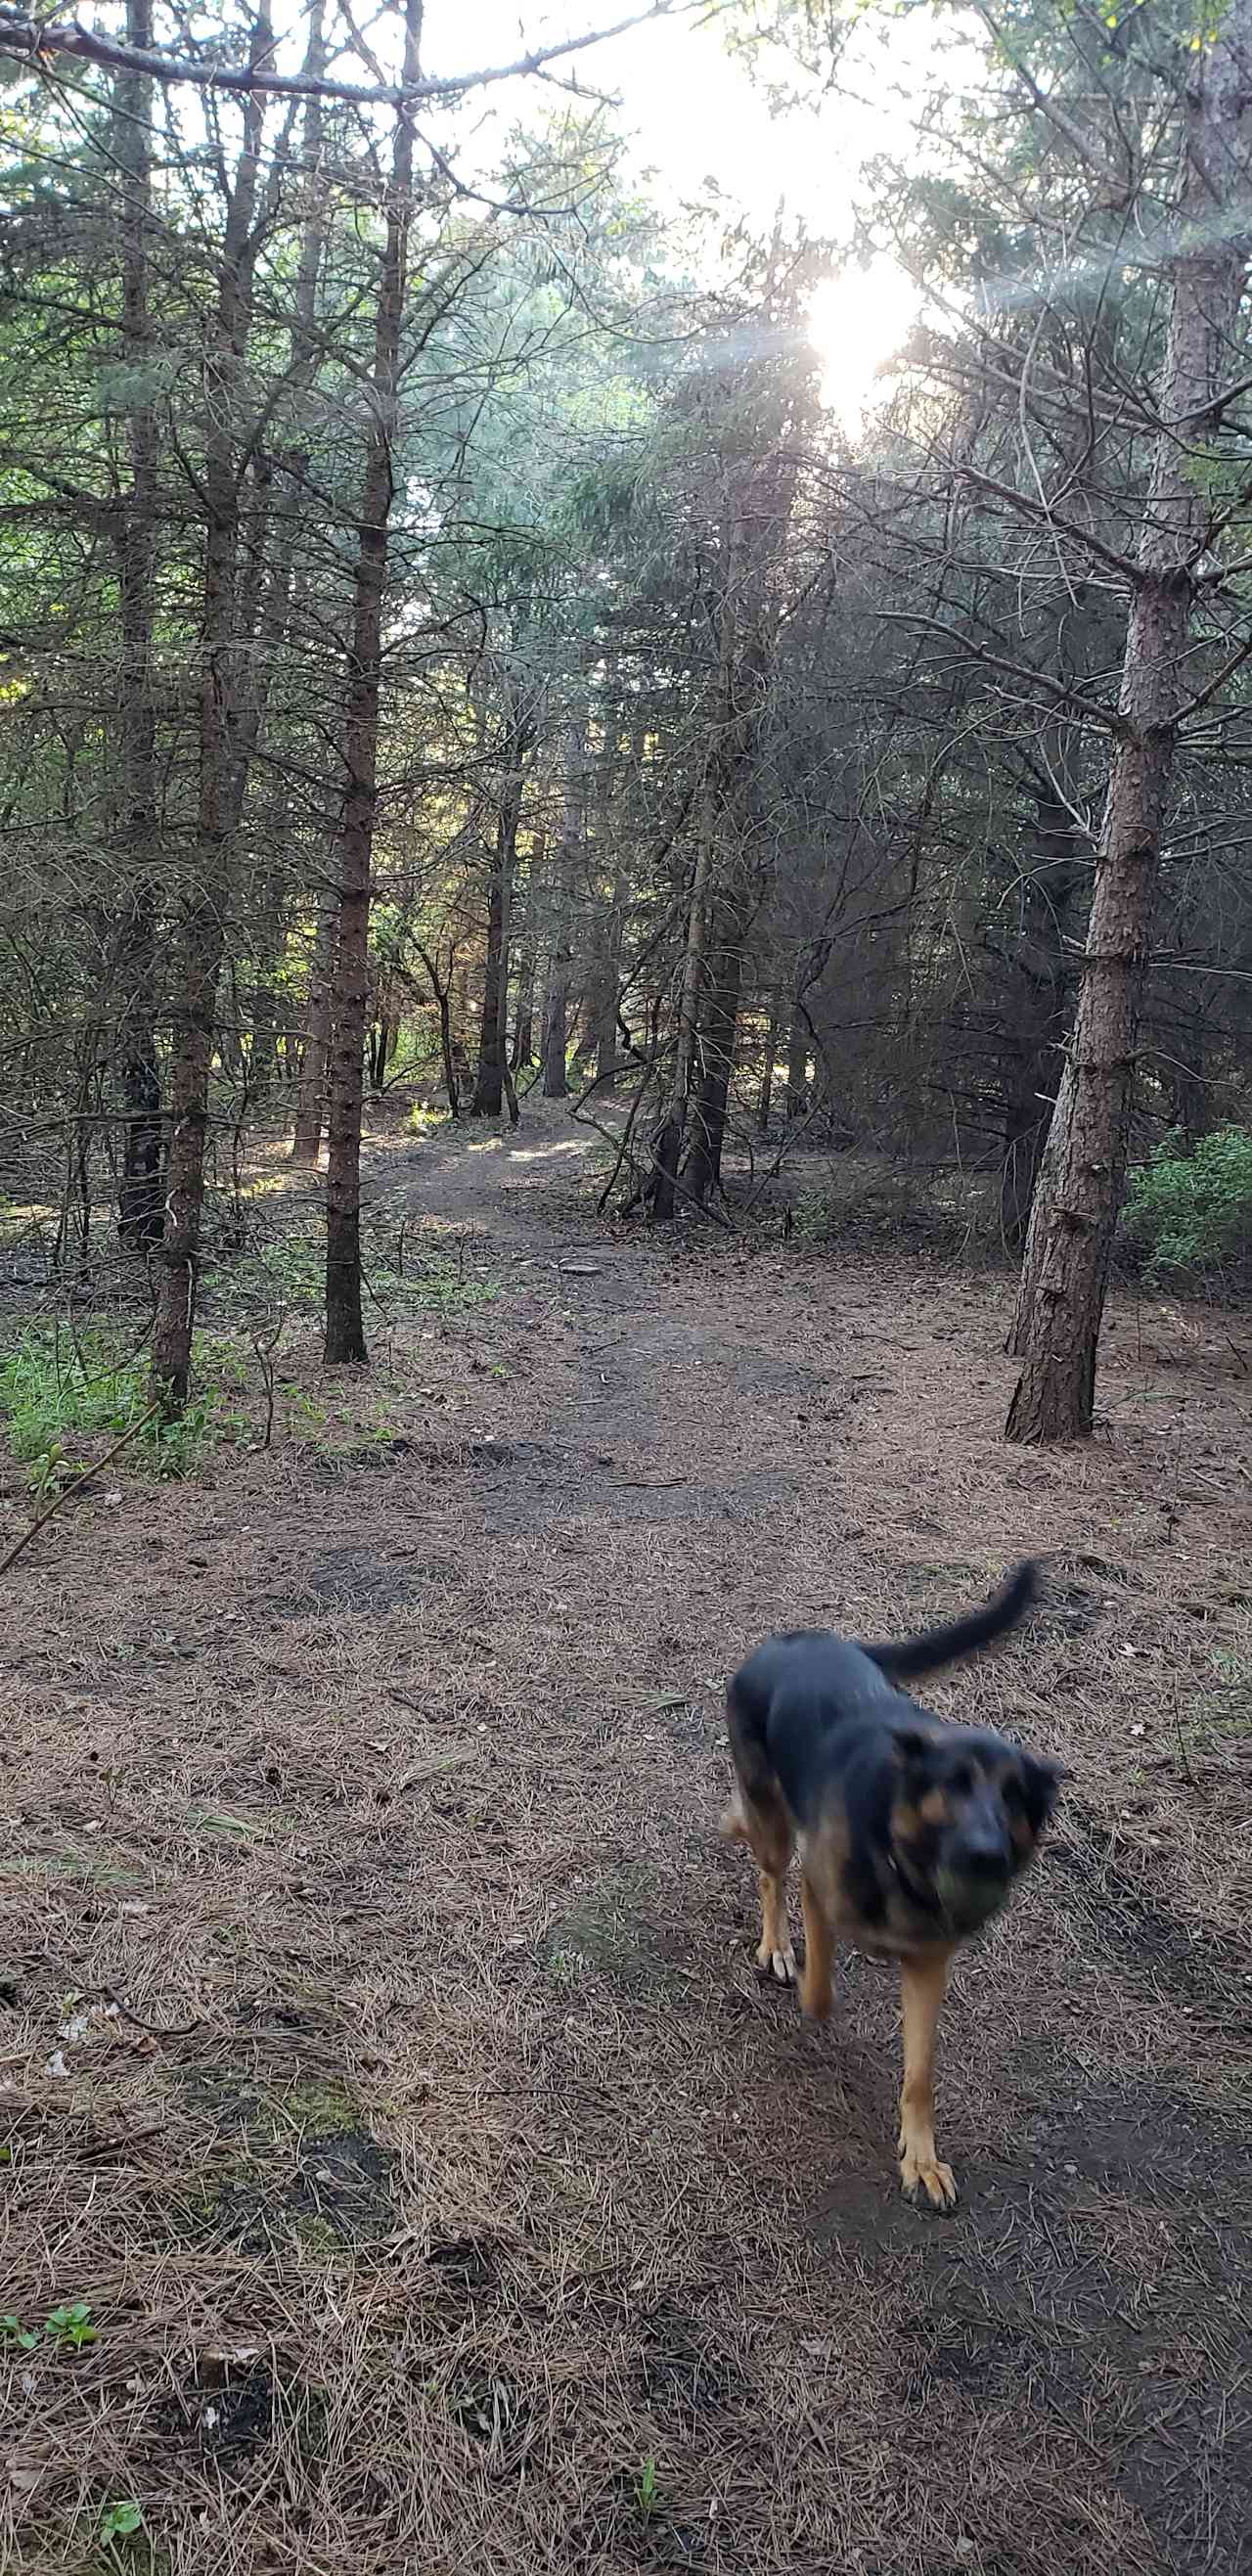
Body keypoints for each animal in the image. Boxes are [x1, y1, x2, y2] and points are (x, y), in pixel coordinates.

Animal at [721, 1556, 1061, 2204]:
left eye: (1013, 1797)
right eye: (953, 1785)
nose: (987, 1856)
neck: (903, 1857)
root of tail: (796, 1639)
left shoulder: (930, 1963)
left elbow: (921, 2074)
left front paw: (921, 2158)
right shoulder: (819, 1892)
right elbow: (820, 1994)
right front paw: (811, 1989)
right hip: (774, 1825)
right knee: (769, 1869)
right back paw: (775, 1943)